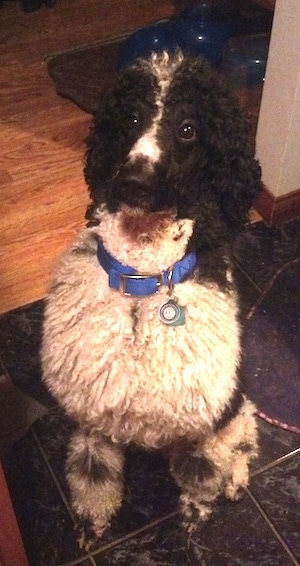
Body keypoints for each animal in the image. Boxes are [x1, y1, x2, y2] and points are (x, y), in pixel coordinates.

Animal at [41, 50, 262, 552]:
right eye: (132, 118)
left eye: (189, 129)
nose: (134, 181)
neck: (142, 282)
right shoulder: (94, 418)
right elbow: (93, 475)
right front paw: (91, 522)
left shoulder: (204, 422)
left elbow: (202, 473)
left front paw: (196, 513)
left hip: (236, 402)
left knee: (244, 436)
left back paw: (237, 477)